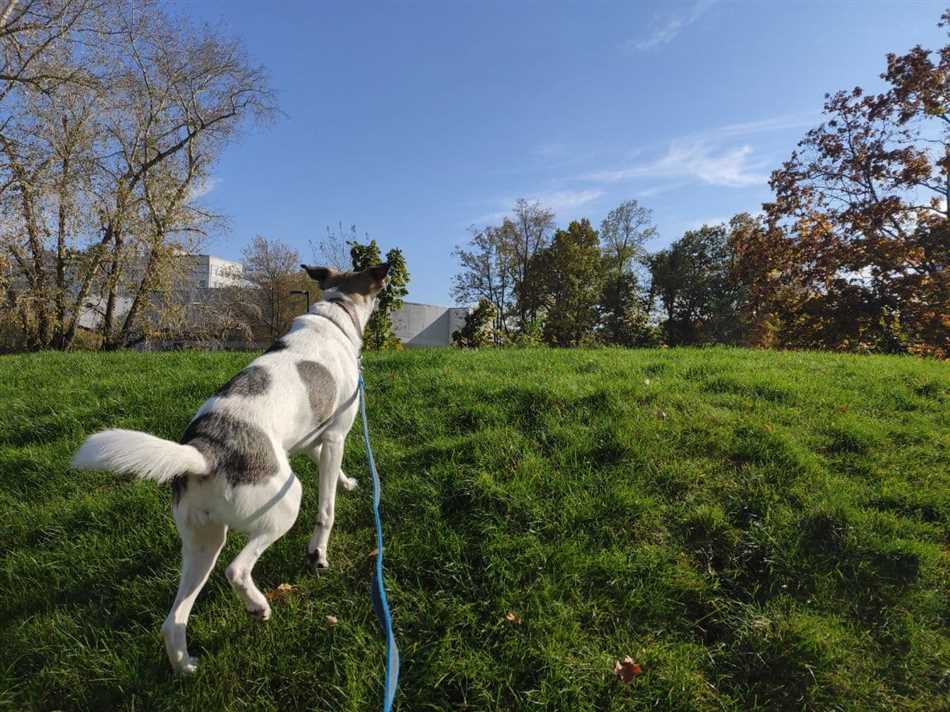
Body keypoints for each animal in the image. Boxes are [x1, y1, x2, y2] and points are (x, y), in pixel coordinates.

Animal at [69, 262, 390, 672]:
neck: (335, 312)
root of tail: (204, 451)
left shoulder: (311, 441)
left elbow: (331, 471)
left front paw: (347, 483)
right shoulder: (334, 436)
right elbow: (326, 508)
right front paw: (318, 552)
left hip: (202, 543)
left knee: (173, 619)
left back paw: (185, 666)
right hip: (285, 501)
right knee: (236, 569)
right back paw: (258, 606)